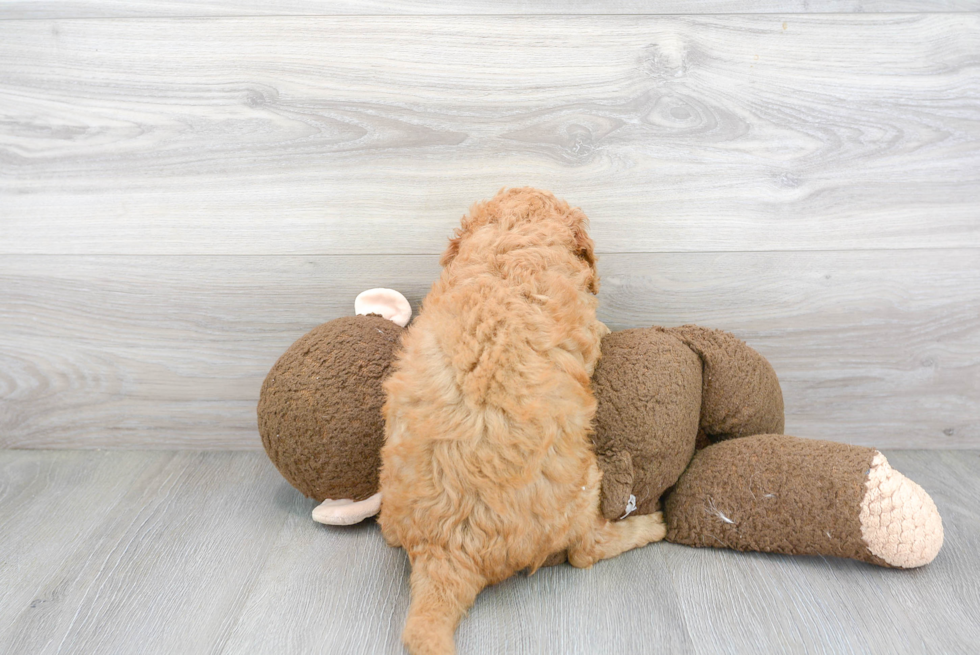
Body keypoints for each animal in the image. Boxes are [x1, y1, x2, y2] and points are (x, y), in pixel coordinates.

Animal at [378, 187, 668, 652]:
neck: (511, 239)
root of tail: (446, 552)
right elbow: (595, 331)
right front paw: (607, 329)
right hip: (582, 485)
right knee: (585, 551)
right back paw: (651, 525)